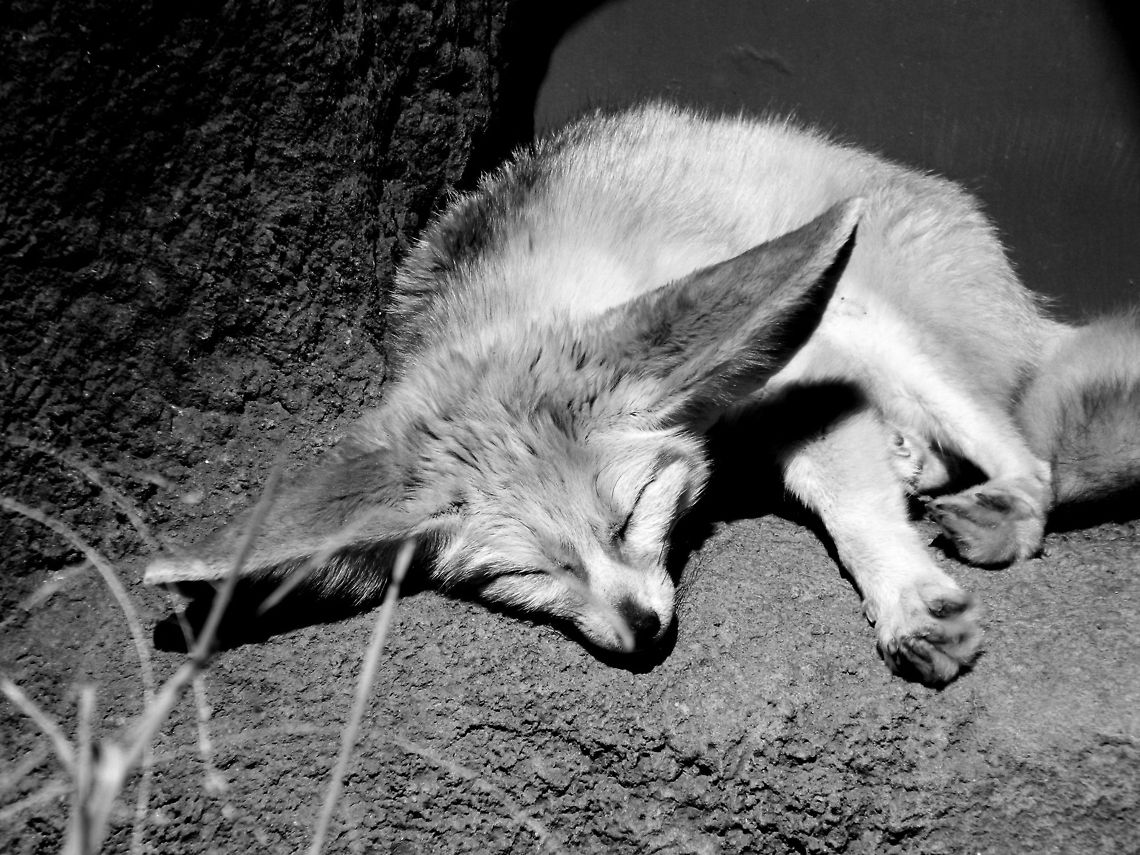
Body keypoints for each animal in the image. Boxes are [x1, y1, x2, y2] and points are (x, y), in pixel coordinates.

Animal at [146, 103, 1140, 685]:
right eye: (524, 574)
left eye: (630, 516)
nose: (641, 628)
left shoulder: (803, 362)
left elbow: (849, 499)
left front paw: (902, 593)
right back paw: (920, 462)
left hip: (871, 305)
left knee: (1034, 453)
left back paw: (1003, 503)